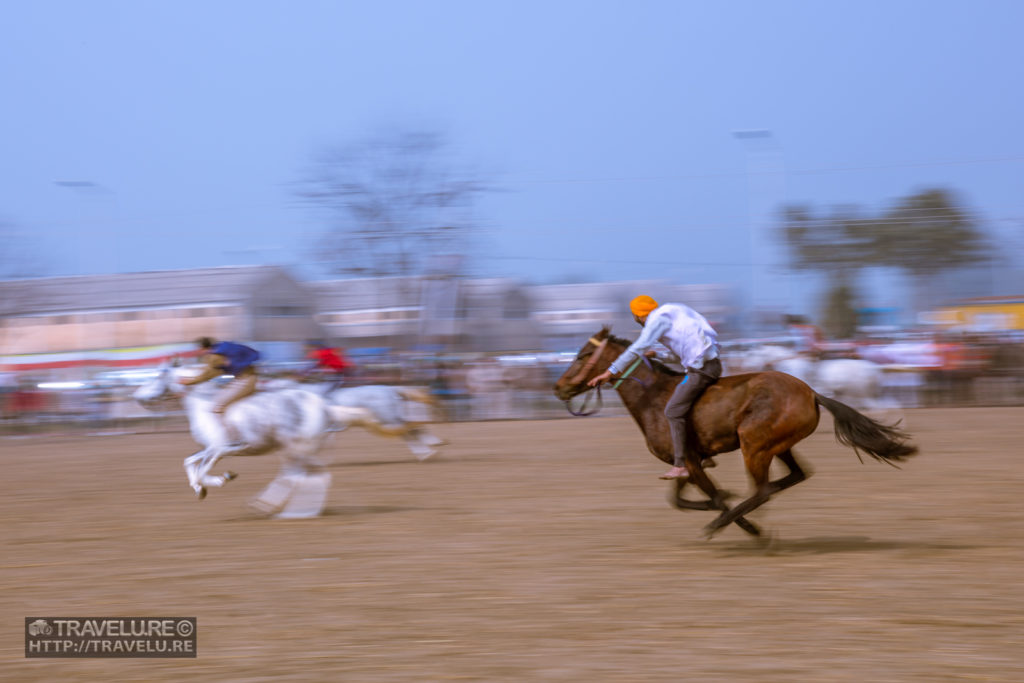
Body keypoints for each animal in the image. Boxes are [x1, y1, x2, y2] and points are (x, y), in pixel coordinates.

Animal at [133, 362, 356, 507]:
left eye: (159, 375)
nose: (137, 396)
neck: (204, 406)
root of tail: (323, 406)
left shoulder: (219, 449)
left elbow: (203, 471)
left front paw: (222, 479)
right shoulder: (208, 449)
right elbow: (189, 462)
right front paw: (199, 489)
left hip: (295, 448)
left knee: (295, 477)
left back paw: (270, 506)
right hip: (303, 450)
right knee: (308, 477)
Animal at [552, 327, 921, 536]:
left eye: (583, 354)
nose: (558, 387)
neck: (653, 398)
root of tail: (811, 392)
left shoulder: (690, 461)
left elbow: (709, 497)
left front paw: (740, 523)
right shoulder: (689, 462)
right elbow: (679, 499)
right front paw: (726, 505)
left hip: (754, 446)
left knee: (762, 491)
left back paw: (730, 523)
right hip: (778, 446)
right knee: (792, 477)